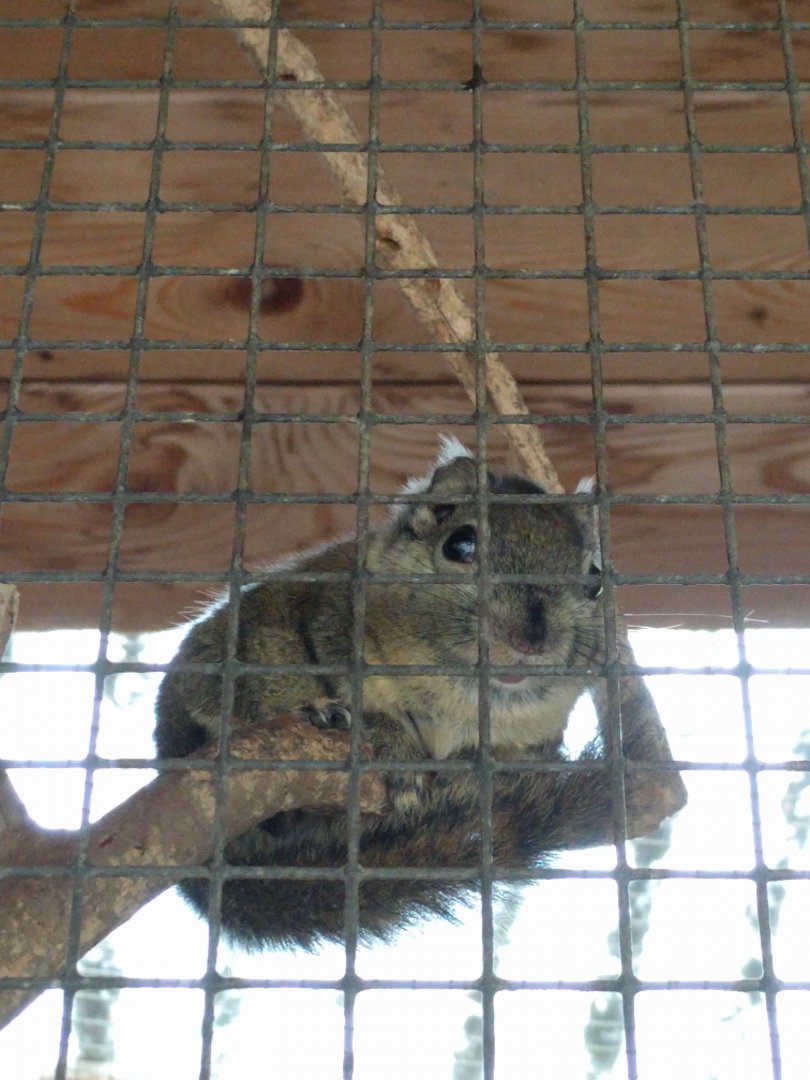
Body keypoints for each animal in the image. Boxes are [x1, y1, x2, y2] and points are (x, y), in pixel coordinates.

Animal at [154, 437, 616, 951]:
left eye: (594, 580)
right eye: (461, 544)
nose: (531, 639)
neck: (457, 702)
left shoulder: (537, 740)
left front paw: (471, 768)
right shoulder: (300, 630)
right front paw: (388, 743)